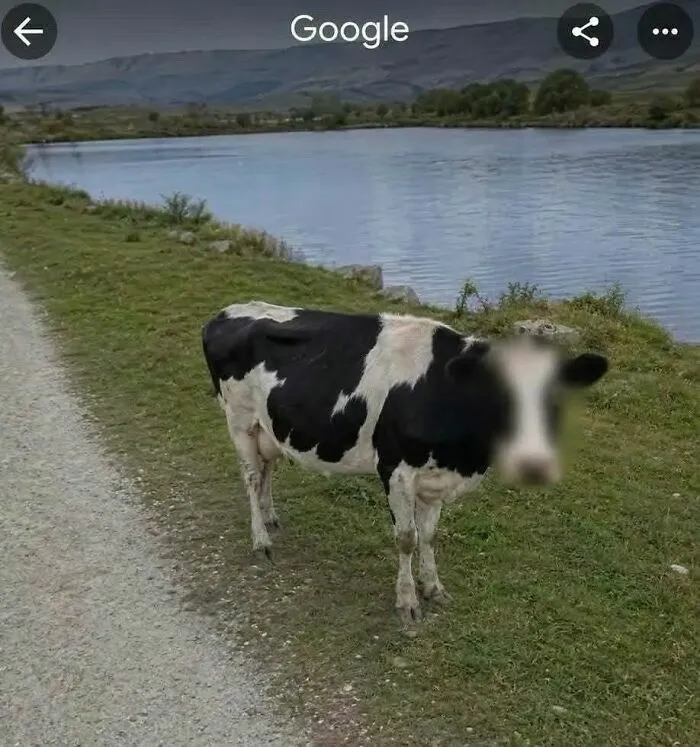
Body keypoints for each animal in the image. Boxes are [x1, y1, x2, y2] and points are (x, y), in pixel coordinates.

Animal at [202, 300, 609, 623]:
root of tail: (229, 311)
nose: (533, 465)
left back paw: (270, 517)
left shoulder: (436, 479)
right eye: (498, 394)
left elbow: (429, 535)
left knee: (268, 469)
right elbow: (407, 538)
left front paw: (434, 587)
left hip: (269, 429)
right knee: (252, 477)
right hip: (240, 420)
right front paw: (408, 601)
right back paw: (261, 540)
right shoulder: (396, 471)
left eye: (555, 399)